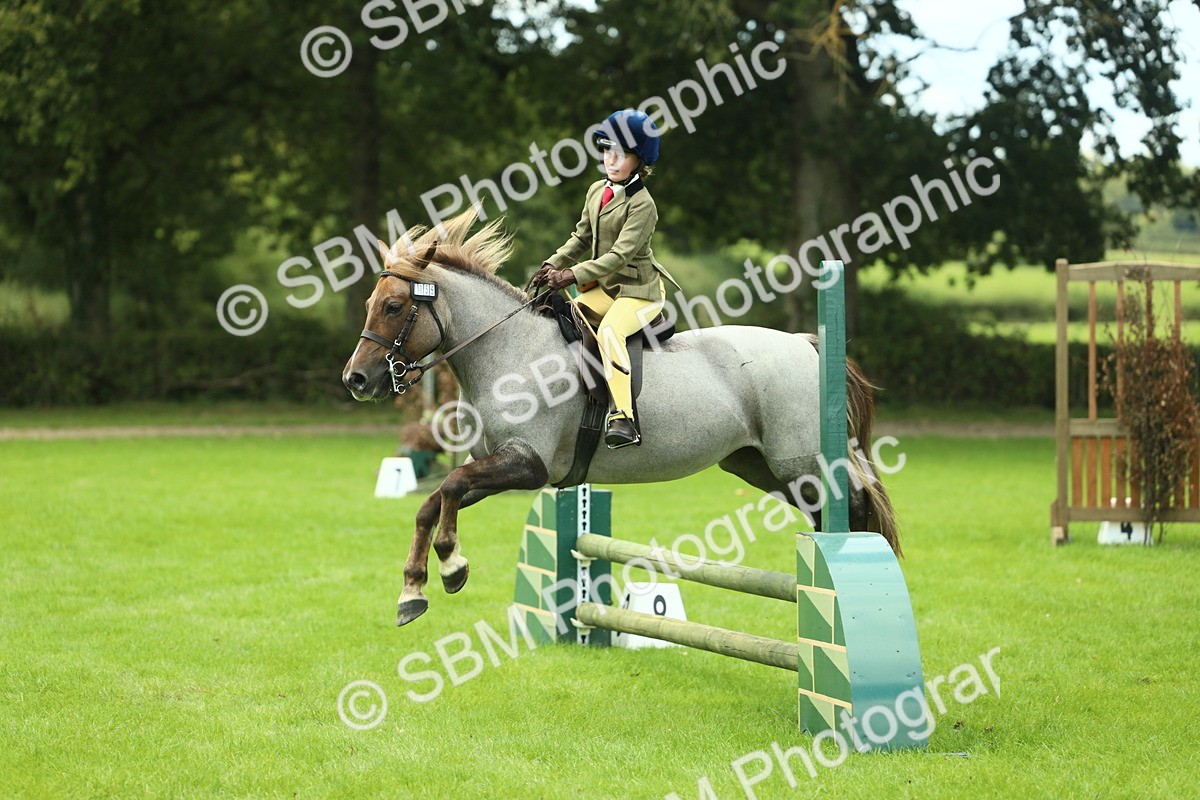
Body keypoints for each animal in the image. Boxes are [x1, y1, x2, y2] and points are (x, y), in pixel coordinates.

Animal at [342, 210, 899, 626]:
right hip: (758, 466)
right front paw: (413, 591)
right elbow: (434, 499)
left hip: (798, 462)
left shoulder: (527, 465)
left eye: (394, 306)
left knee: (852, 501)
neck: (511, 351)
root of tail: (808, 345)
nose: (356, 380)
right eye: (372, 302)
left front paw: (452, 566)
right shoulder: (498, 467)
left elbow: (451, 487)